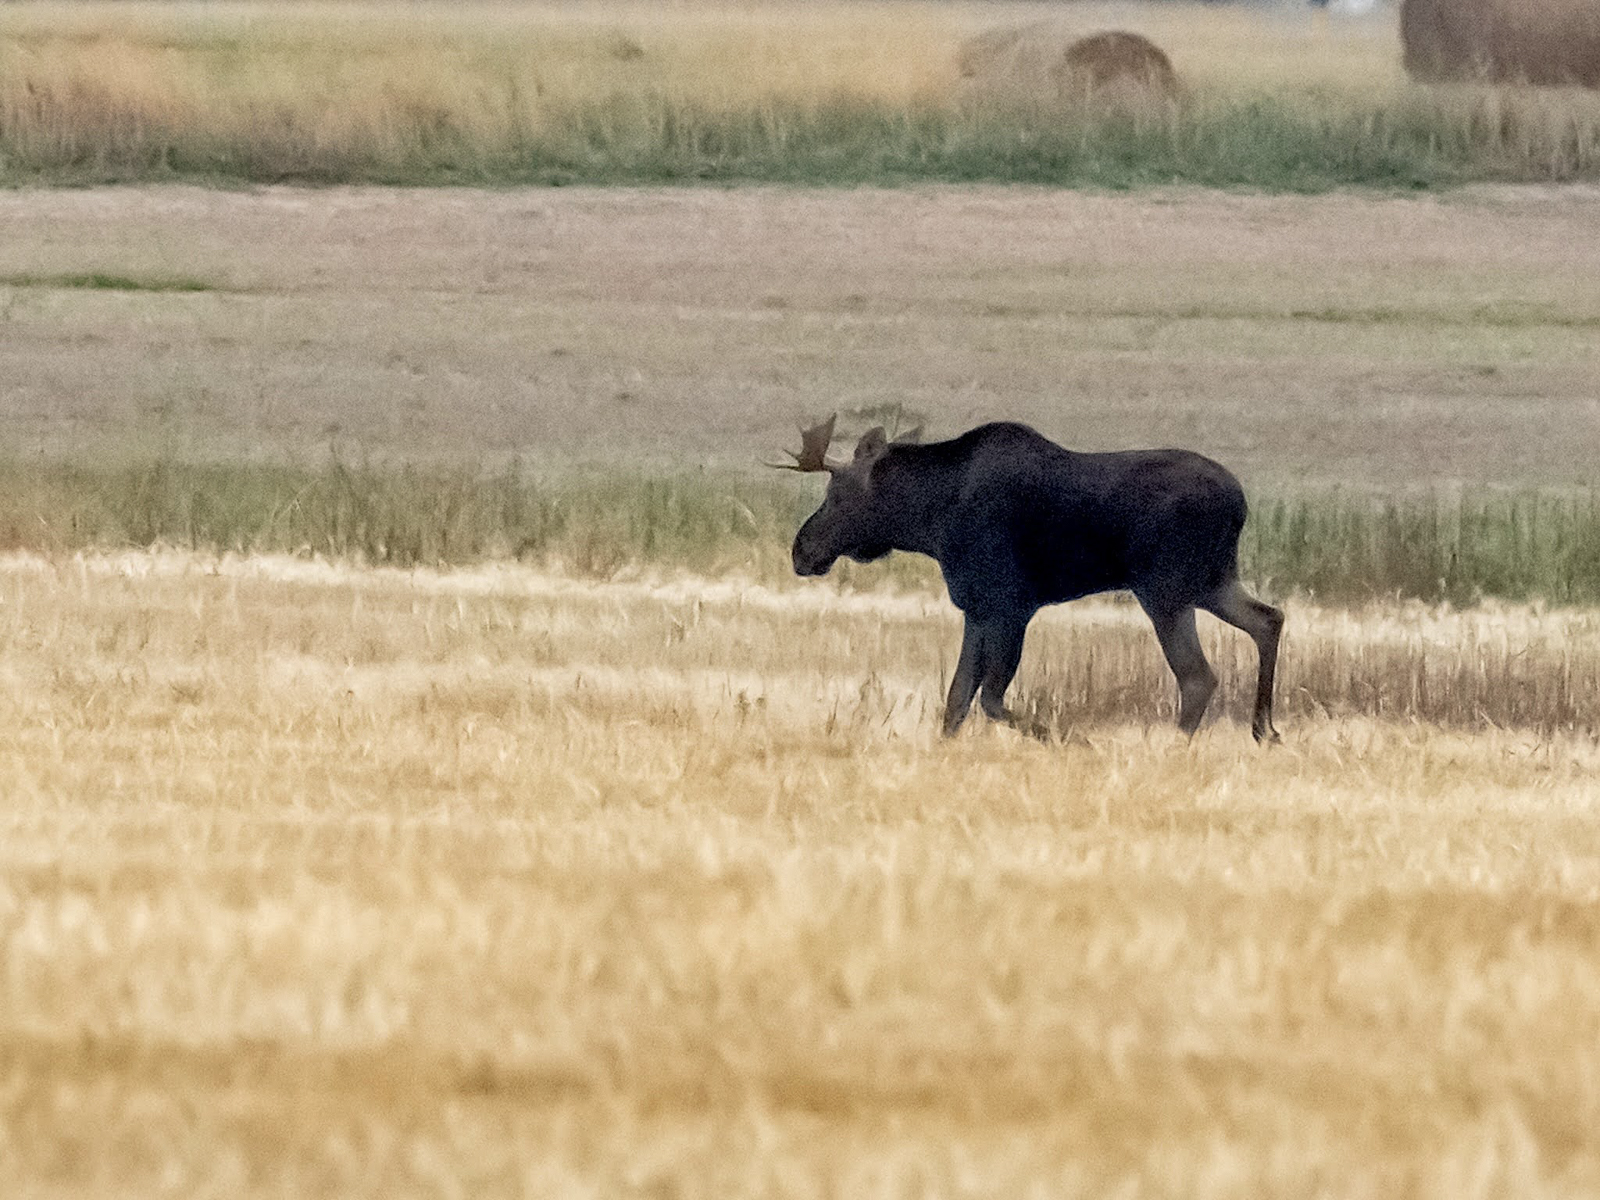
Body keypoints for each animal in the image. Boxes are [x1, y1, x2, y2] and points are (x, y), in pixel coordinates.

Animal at [776, 416, 1284, 740]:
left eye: (837, 495)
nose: (802, 550)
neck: (929, 521)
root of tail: (1240, 503)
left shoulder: (1011, 604)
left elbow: (990, 698)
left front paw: (1073, 739)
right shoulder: (978, 607)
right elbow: (956, 701)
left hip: (1166, 589)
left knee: (1198, 677)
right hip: (1211, 581)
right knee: (1269, 619)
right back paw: (1265, 729)